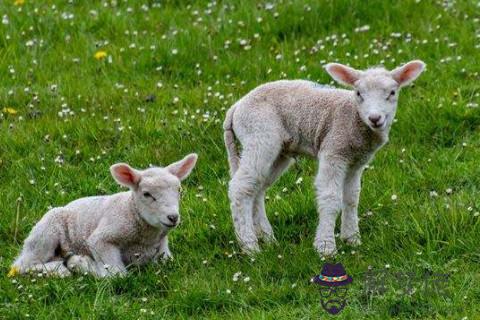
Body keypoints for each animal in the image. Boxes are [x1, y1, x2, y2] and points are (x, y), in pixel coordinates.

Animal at [8, 153, 197, 278]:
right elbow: (116, 274)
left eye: (179, 190)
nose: (173, 217)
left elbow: (167, 261)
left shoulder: (163, 250)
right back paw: (62, 268)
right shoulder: (102, 239)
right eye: (147, 194)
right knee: (23, 265)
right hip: (46, 233)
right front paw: (82, 264)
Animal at [223, 59, 426, 255]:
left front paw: (352, 240)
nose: (375, 118)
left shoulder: (356, 162)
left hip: (279, 151)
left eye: (392, 93)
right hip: (259, 135)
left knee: (256, 188)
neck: (354, 118)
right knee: (241, 188)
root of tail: (236, 107)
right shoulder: (334, 151)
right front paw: (326, 247)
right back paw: (250, 247)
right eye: (358, 93)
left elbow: (351, 198)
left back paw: (268, 239)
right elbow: (330, 198)